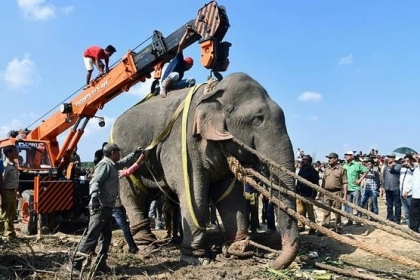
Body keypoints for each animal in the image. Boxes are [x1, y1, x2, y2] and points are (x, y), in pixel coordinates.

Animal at [110, 72, 296, 270]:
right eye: (257, 119)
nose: (272, 265)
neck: (214, 92)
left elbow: (230, 196)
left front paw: (239, 249)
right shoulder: (183, 145)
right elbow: (194, 193)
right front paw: (197, 258)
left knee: (146, 197)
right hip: (123, 160)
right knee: (133, 196)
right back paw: (148, 247)